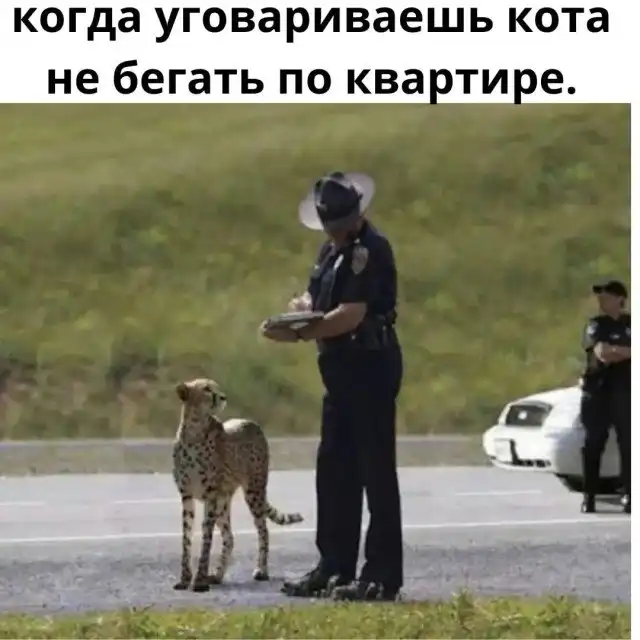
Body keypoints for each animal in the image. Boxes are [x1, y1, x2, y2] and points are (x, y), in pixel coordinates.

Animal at [171, 377, 304, 592]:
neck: (194, 430)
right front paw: (185, 579)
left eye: (216, 387)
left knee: (263, 530)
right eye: (207, 389)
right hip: (223, 503)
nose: (223, 397)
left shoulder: (210, 496)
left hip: (253, 492)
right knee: (230, 537)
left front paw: (199, 580)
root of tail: (251, 422)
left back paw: (261, 570)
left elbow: (206, 539)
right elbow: (187, 538)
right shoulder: (187, 495)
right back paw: (217, 575)